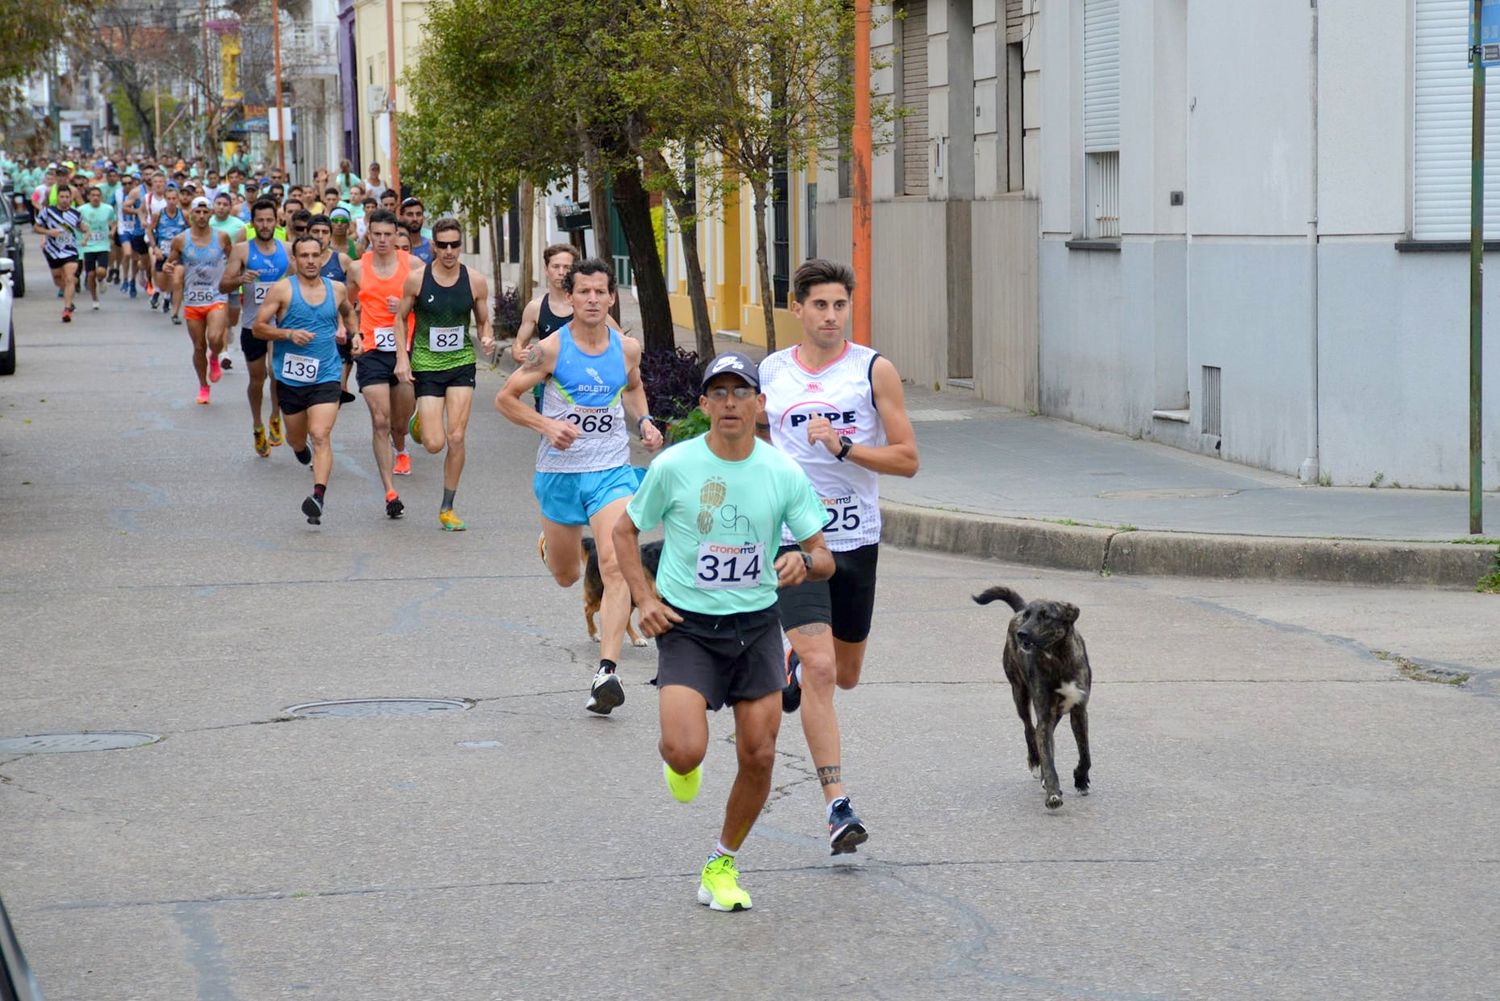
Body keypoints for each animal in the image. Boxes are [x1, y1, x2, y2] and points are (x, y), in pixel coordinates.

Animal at [972, 588, 1092, 804]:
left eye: (1046, 616)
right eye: (1028, 616)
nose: (1021, 633)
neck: (1058, 658)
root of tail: (1017, 611)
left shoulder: (1079, 710)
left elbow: (1085, 753)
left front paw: (1081, 780)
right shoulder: (1044, 713)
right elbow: (1047, 756)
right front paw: (1053, 792)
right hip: (1019, 694)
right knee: (1030, 730)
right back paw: (1036, 763)